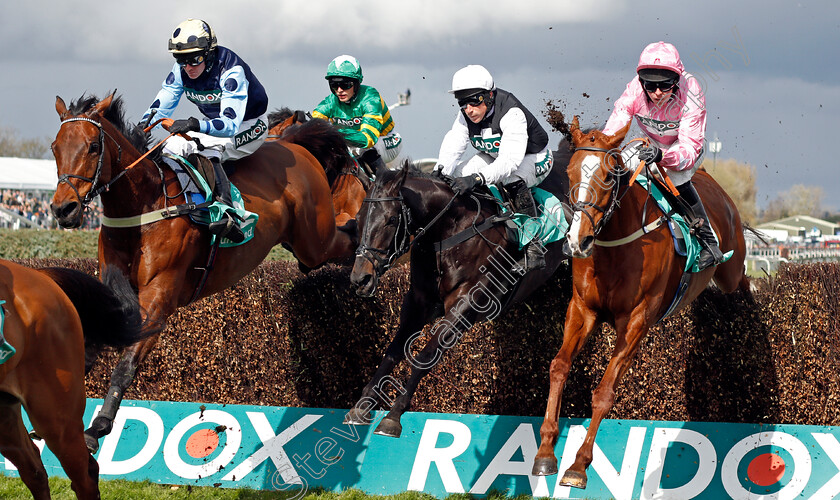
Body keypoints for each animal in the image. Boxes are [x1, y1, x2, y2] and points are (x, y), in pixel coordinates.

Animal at [49, 92, 356, 452]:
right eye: (55, 147)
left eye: (93, 146)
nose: (63, 209)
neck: (143, 207)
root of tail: (293, 144)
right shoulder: (113, 290)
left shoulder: (159, 299)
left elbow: (125, 365)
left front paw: (98, 426)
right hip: (302, 245)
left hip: (314, 237)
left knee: (348, 234)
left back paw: (374, 261)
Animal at [342, 162, 572, 436]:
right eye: (357, 220)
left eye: (391, 220)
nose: (361, 279)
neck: (449, 232)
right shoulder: (417, 301)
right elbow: (394, 351)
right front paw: (362, 406)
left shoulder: (466, 303)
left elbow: (425, 357)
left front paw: (393, 415)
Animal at [532, 115, 748, 486]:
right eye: (571, 172)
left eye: (609, 175)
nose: (578, 240)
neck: (614, 247)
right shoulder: (582, 309)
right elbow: (558, 366)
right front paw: (546, 451)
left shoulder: (636, 321)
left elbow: (604, 392)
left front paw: (578, 465)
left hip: (730, 271)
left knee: (743, 279)